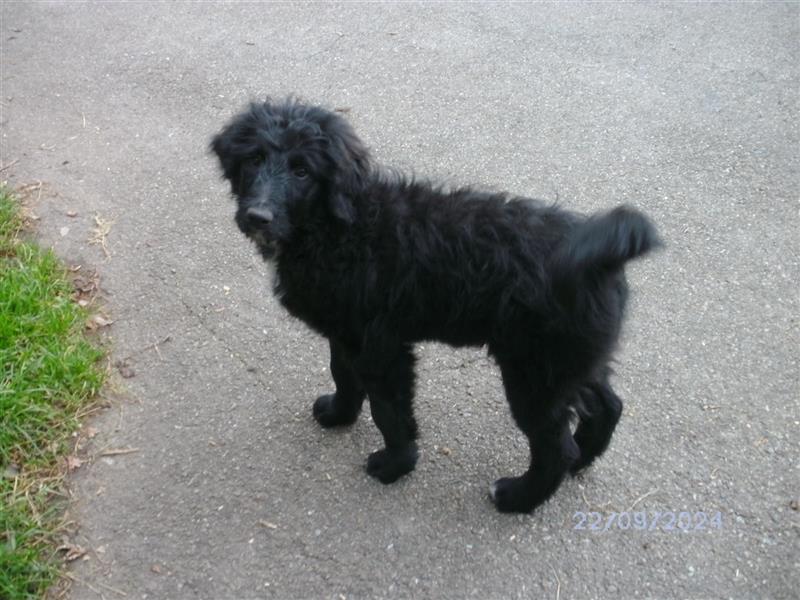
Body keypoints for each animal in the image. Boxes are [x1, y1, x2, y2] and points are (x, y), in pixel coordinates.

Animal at [209, 98, 660, 510]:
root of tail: (602, 256)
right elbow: (343, 373)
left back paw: (518, 497)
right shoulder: (346, 331)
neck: (340, 229)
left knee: (555, 447)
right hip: (570, 361)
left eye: (302, 170)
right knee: (606, 405)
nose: (258, 216)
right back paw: (582, 461)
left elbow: (388, 410)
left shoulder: (382, 347)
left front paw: (395, 464)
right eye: (254, 159)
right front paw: (339, 414)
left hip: (534, 373)